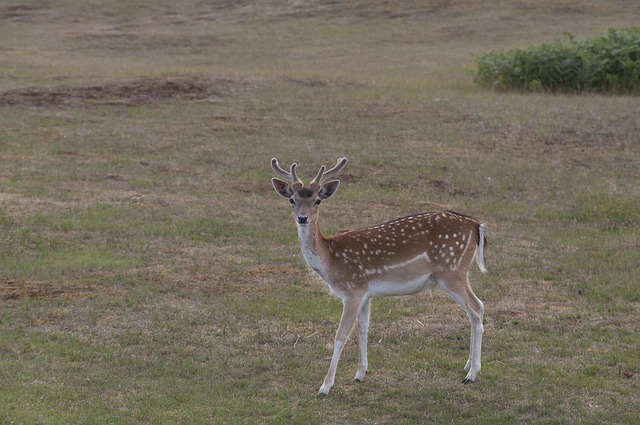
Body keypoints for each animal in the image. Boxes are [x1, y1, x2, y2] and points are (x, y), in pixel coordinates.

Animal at [270, 157, 487, 396]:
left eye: (317, 200)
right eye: (292, 199)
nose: (302, 218)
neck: (331, 259)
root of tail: (476, 225)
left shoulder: (353, 290)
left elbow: (341, 335)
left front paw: (325, 386)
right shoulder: (365, 292)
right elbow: (363, 329)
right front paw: (359, 374)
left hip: (452, 271)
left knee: (476, 309)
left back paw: (471, 374)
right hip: (456, 272)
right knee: (476, 308)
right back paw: (467, 365)